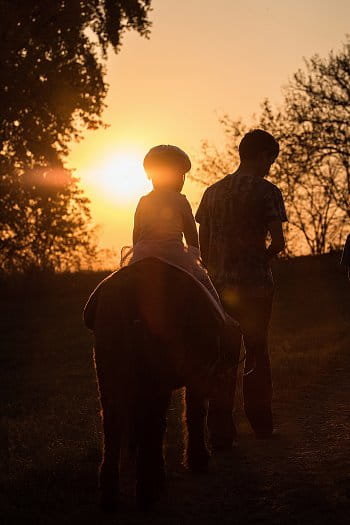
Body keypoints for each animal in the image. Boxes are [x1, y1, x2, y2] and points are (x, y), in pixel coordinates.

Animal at [83, 258, 241, 512]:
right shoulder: (198, 369)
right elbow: (194, 410)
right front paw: (198, 462)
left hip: (107, 358)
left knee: (114, 417)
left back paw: (111, 496)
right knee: (151, 418)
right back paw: (148, 492)